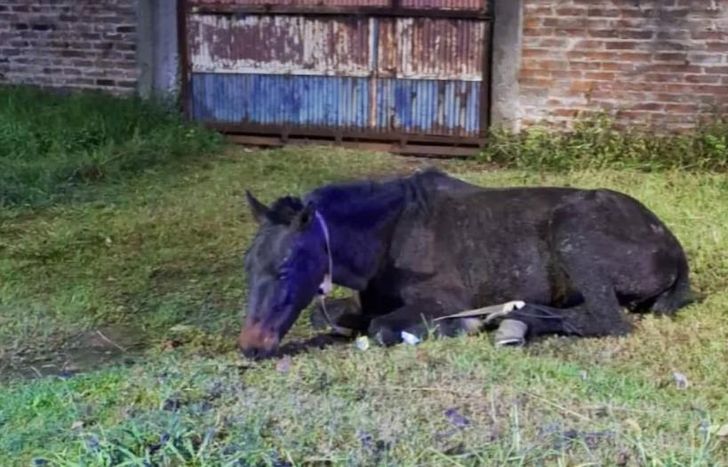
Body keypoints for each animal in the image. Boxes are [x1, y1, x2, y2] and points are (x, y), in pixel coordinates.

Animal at [238, 168, 693, 359]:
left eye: (284, 269)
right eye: (248, 266)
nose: (251, 346)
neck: (390, 236)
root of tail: (672, 245)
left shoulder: (441, 301)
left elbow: (381, 328)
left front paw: (460, 325)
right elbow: (332, 317)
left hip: (575, 234)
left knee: (606, 320)